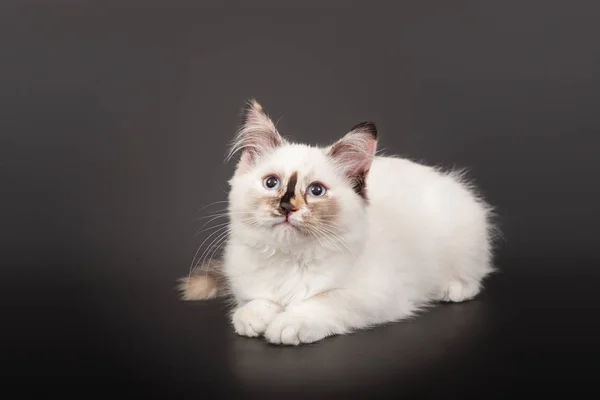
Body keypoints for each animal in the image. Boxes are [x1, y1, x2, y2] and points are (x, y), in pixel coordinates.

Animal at [178, 98, 496, 346]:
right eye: (271, 183)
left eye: (316, 191)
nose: (286, 207)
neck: (290, 260)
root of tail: (445, 179)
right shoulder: (249, 284)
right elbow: (256, 301)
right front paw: (253, 318)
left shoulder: (378, 295)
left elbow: (323, 301)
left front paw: (288, 324)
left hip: (463, 239)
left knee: (474, 277)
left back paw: (451, 289)